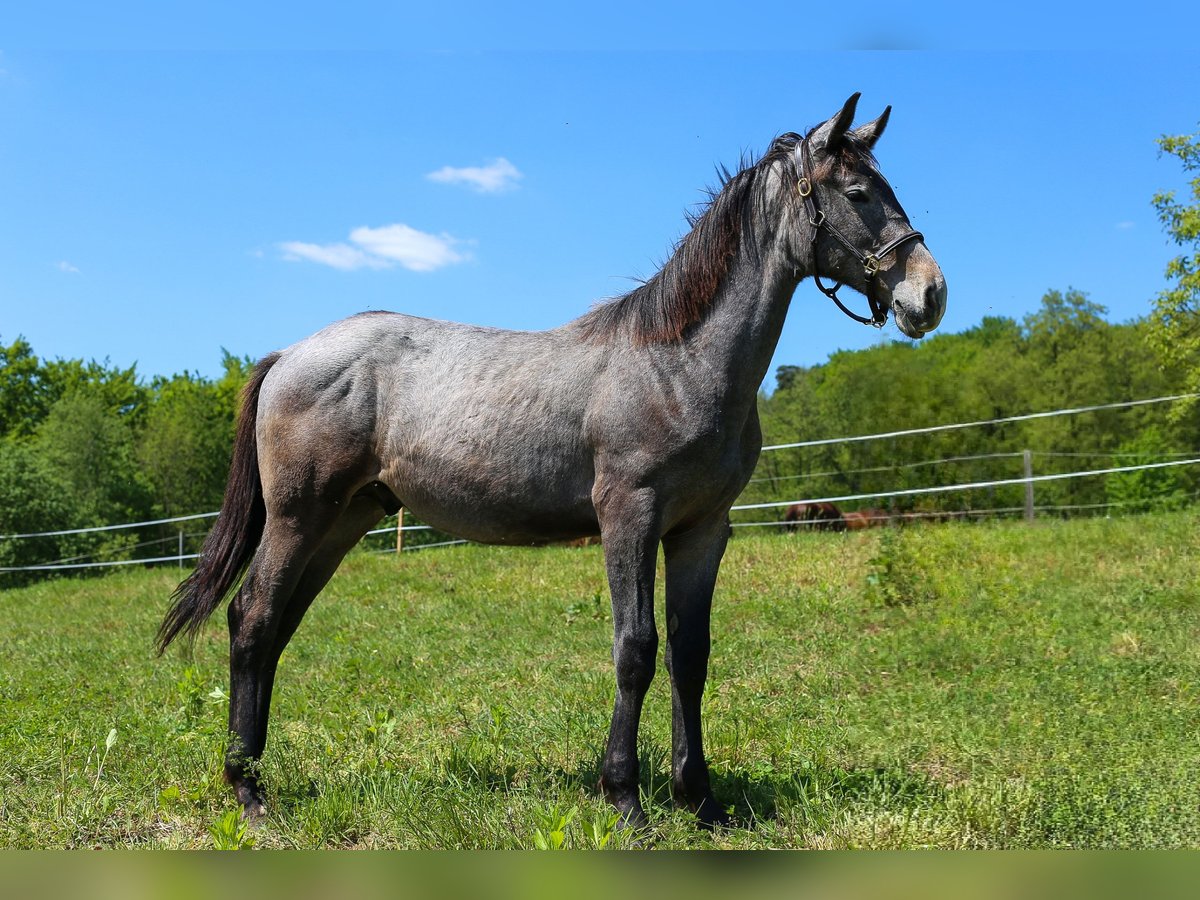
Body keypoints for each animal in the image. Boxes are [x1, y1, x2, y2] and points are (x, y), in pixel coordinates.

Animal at [157, 95, 945, 835]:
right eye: (856, 193)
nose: (928, 294)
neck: (677, 362)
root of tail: (291, 353)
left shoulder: (702, 530)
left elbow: (690, 655)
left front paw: (701, 801)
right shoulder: (628, 517)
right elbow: (636, 649)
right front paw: (624, 798)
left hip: (344, 520)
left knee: (278, 627)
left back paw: (256, 773)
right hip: (298, 516)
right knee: (253, 618)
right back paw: (249, 792)